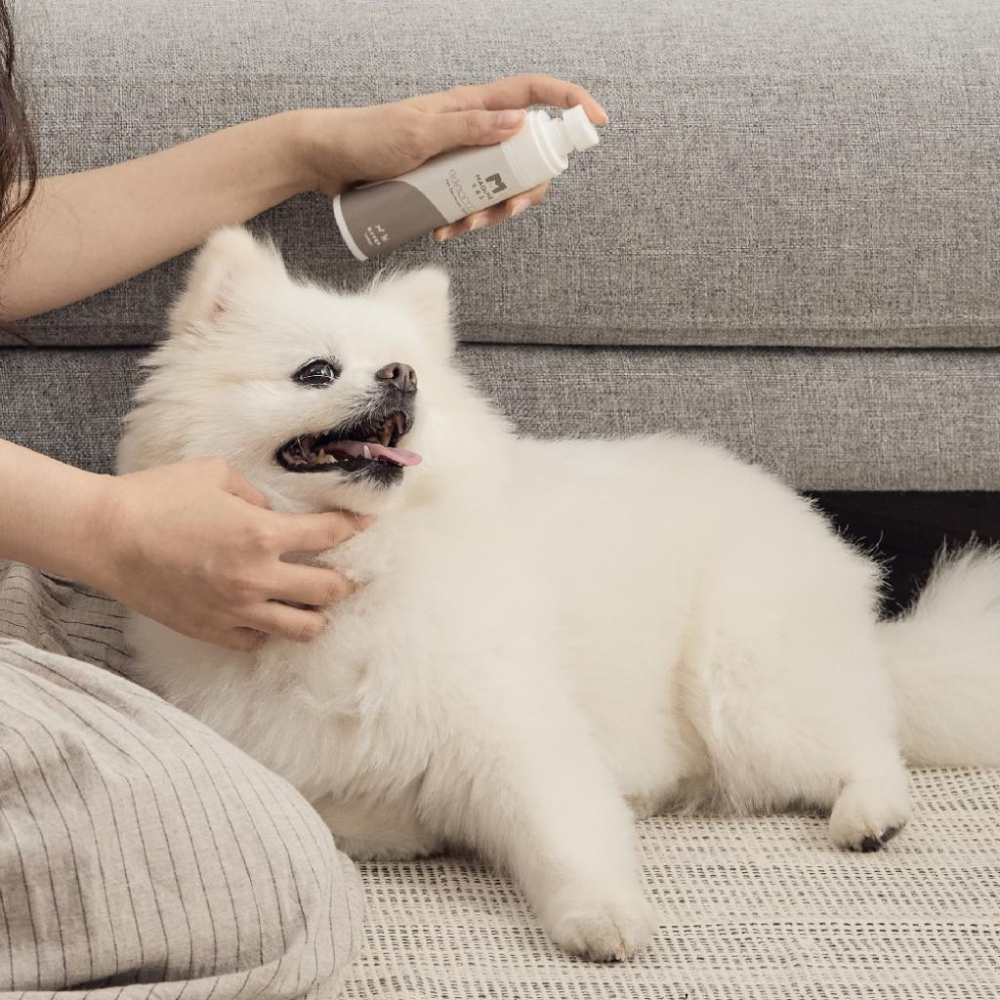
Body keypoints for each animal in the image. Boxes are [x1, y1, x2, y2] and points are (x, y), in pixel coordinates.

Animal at [121, 229, 1000, 960]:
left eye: (407, 370)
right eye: (317, 371)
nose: (402, 377)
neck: (359, 570)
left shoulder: (516, 728)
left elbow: (563, 833)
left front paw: (603, 917)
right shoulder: (288, 753)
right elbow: (334, 810)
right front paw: (403, 825)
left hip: (747, 693)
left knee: (869, 743)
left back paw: (870, 815)